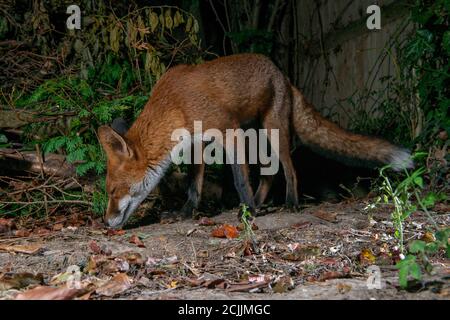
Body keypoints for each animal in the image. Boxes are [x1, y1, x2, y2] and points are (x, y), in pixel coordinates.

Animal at [96, 53, 414, 228]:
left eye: (113, 191)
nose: (106, 222)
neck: (175, 104)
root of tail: (284, 76)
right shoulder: (198, 144)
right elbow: (194, 184)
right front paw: (186, 212)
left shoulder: (228, 130)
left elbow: (239, 178)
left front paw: (247, 211)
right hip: (257, 138)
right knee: (269, 173)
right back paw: (262, 202)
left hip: (273, 131)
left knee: (288, 168)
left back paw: (290, 203)